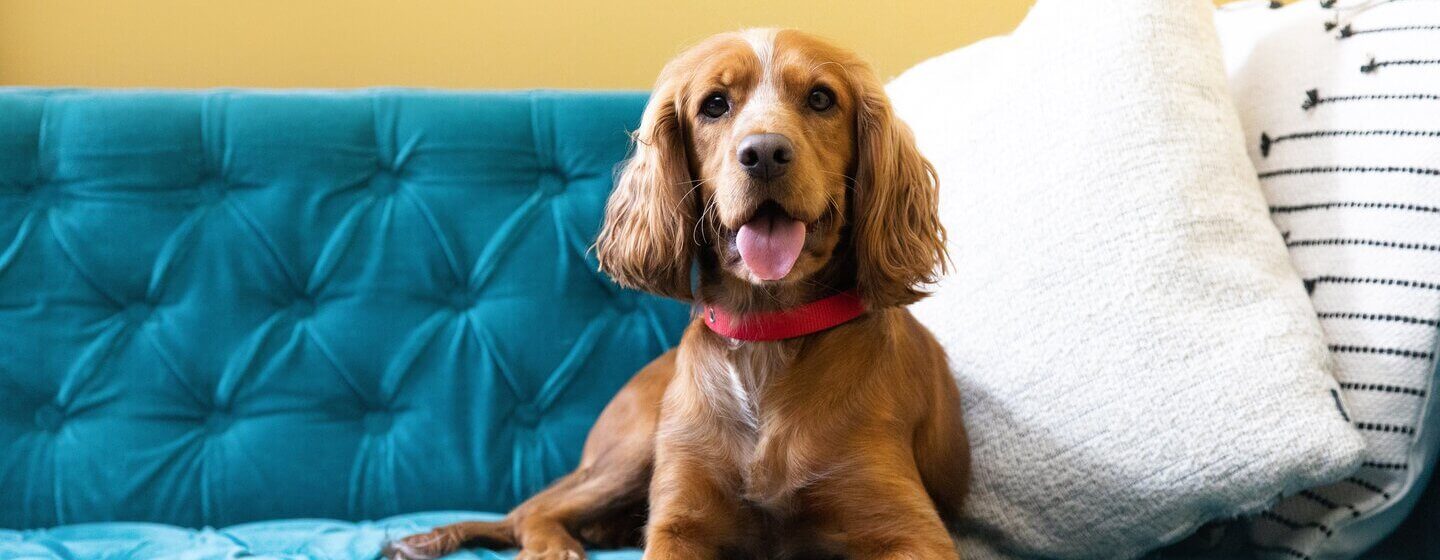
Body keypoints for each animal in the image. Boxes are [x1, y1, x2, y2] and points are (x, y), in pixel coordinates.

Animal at [383, 29, 967, 558]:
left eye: (821, 98)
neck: (765, 336)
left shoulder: (910, 530)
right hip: (636, 446)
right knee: (530, 510)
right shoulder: (680, 521)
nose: (764, 153)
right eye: (715, 105)